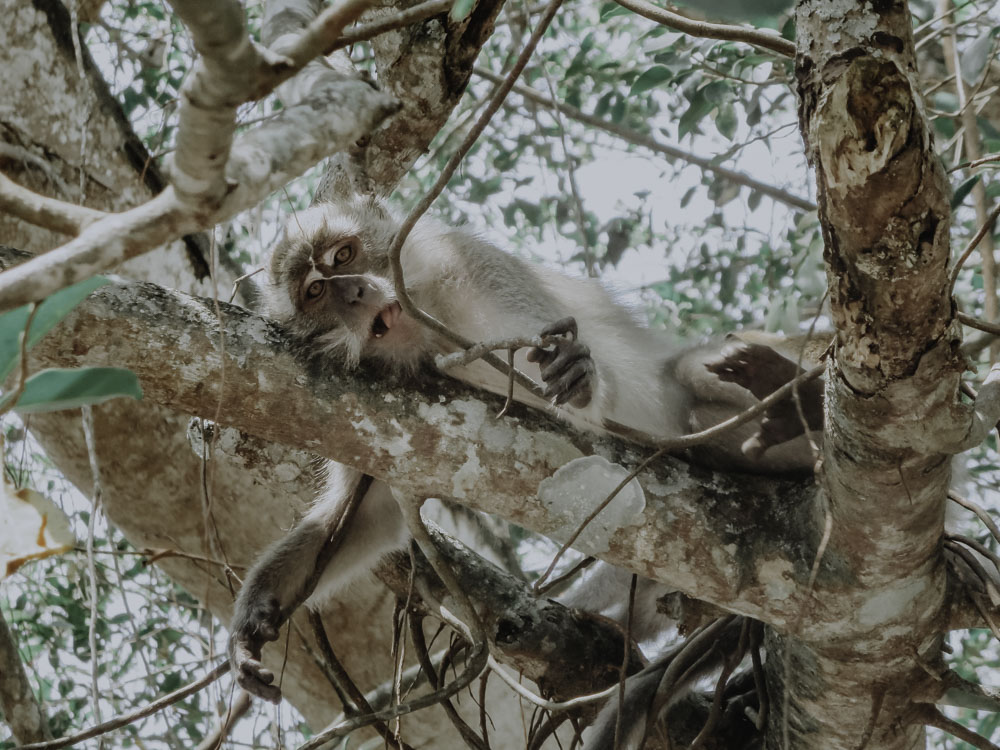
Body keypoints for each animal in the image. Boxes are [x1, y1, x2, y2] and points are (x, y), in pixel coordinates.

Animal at [229, 194, 820, 704]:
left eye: (343, 255)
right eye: (315, 292)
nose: (352, 292)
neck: (430, 327)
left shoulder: (473, 268)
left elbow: (584, 388)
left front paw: (582, 378)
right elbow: (367, 518)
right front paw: (254, 616)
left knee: (693, 370)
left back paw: (799, 401)